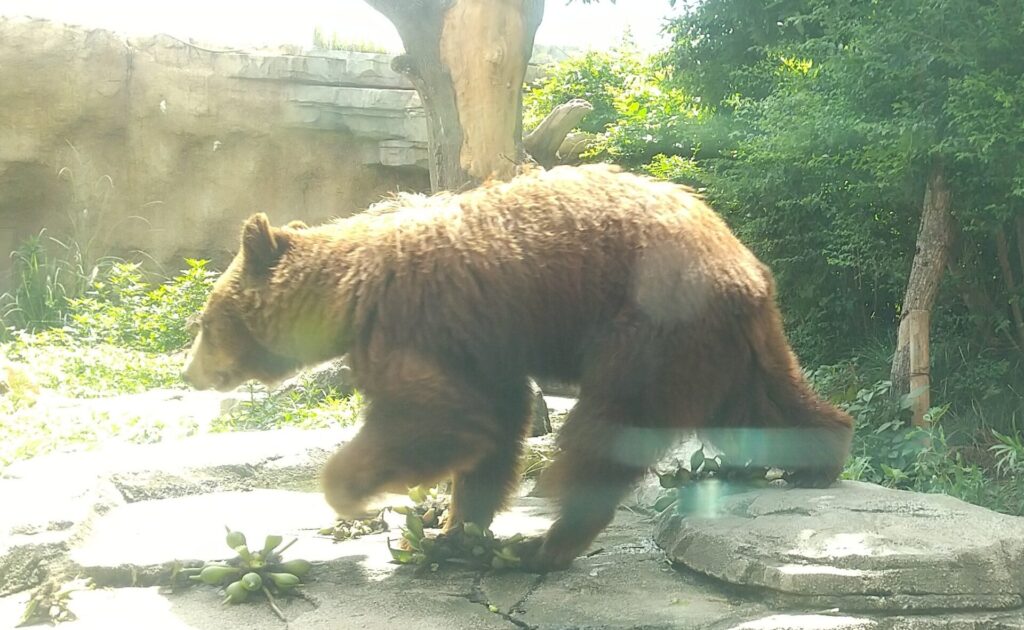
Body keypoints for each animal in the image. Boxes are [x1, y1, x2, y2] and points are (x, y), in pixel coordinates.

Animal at [180, 161, 851, 573]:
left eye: (205, 323)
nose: (190, 374)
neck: (348, 294)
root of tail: (742, 265)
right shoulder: (481, 344)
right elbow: (494, 423)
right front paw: (453, 530)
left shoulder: (415, 323)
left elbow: (438, 418)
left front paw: (355, 495)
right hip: (722, 346)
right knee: (761, 406)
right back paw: (815, 461)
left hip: (648, 328)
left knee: (604, 431)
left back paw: (547, 541)